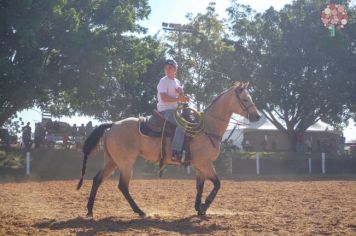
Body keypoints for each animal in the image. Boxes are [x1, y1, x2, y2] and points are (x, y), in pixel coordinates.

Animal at [78, 81, 260, 218]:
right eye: (245, 99)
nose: (257, 116)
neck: (207, 127)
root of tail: (113, 125)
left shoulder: (200, 166)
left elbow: (200, 186)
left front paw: (199, 208)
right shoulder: (205, 163)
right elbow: (217, 184)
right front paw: (204, 206)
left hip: (112, 161)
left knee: (97, 180)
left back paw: (90, 211)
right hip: (125, 162)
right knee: (122, 186)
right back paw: (140, 211)